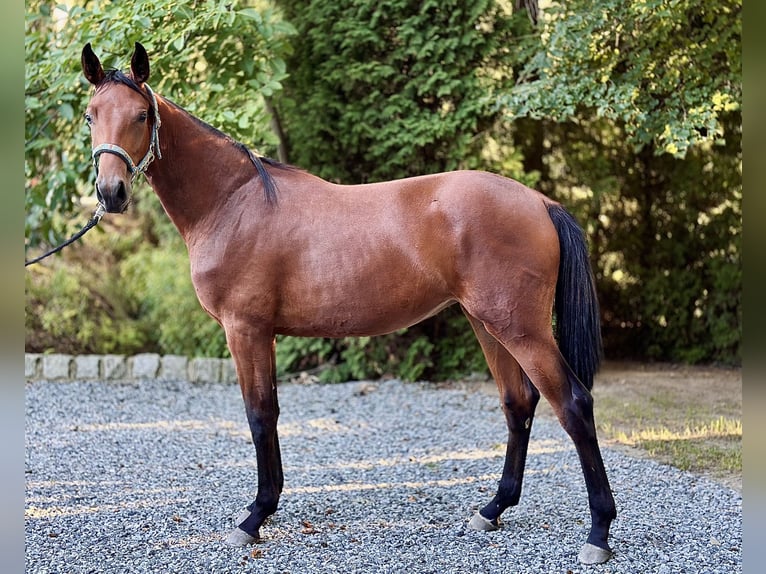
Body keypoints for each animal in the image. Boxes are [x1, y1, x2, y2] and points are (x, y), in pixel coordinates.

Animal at [79, 42, 616, 564]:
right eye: (90, 115)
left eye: (141, 116)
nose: (111, 192)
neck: (232, 202)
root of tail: (540, 202)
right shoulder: (264, 334)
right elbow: (270, 412)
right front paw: (265, 508)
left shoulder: (245, 329)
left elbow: (258, 414)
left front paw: (254, 517)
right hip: (487, 324)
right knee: (517, 403)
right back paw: (492, 510)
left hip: (521, 328)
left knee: (573, 405)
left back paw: (598, 533)